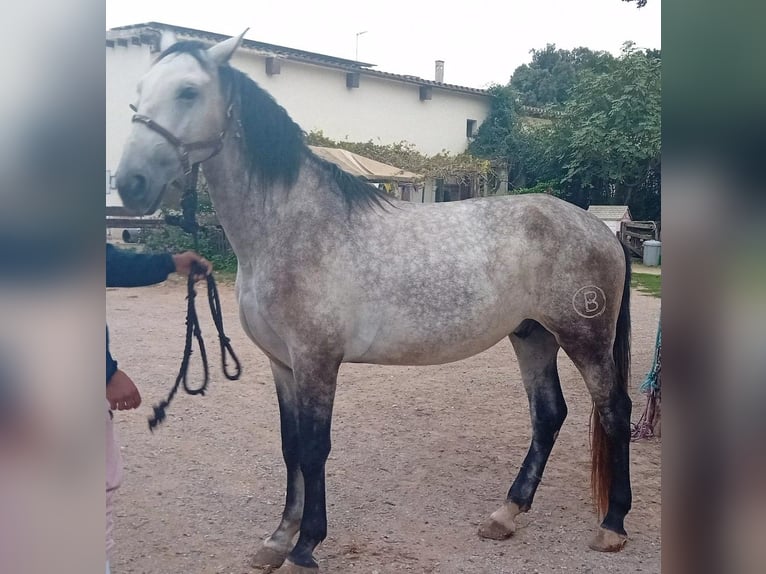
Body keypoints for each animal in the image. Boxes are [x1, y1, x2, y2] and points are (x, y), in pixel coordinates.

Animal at [115, 31, 636, 574]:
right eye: (138, 92)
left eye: (188, 92)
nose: (130, 183)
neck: (291, 228)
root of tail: (600, 229)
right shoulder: (283, 364)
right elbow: (290, 447)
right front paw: (278, 539)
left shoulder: (317, 361)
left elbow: (314, 449)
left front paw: (306, 546)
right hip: (532, 336)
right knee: (549, 415)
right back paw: (506, 514)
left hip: (584, 340)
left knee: (615, 412)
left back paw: (612, 525)